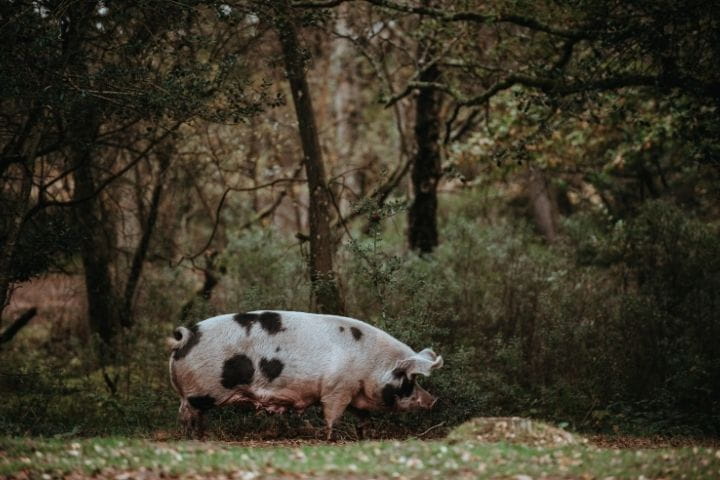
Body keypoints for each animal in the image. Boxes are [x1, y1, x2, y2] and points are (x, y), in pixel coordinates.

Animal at [168, 310, 443, 439]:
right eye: (410, 379)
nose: (433, 400)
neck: (371, 364)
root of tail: (186, 337)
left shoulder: (354, 392)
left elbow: (363, 418)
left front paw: (364, 436)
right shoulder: (337, 389)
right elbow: (332, 416)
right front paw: (330, 439)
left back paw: (201, 437)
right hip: (199, 392)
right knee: (186, 413)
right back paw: (193, 438)